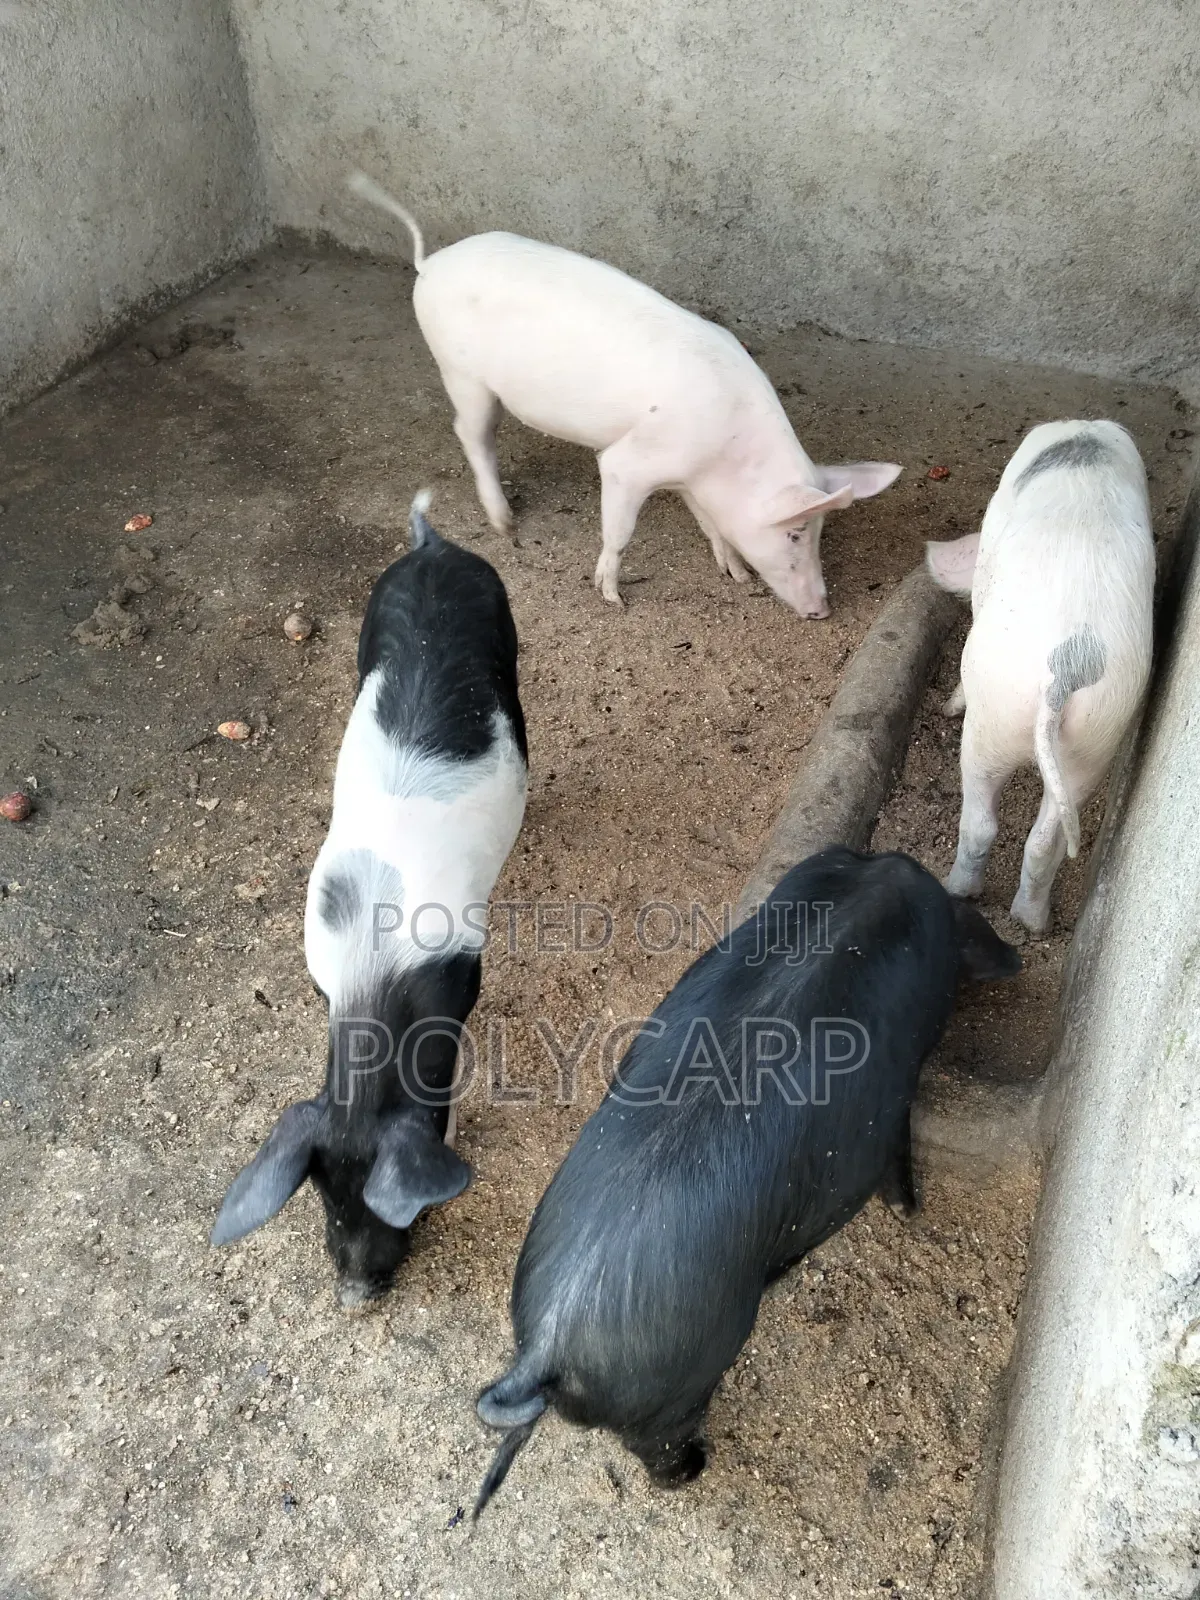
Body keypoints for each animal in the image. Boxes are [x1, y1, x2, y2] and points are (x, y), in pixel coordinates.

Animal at [211, 492, 528, 1307]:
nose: (355, 1295)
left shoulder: (464, 972)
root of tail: (433, 547)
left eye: (393, 1206)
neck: (373, 972)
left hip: (505, 629)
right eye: (324, 1195)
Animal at [348, 172, 901, 620]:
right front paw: (612, 596)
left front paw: (736, 573)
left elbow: (712, 525)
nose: (823, 610)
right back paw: (506, 525)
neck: (724, 452)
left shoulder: (688, 479)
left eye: (819, 531)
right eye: (795, 533)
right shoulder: (627, 463)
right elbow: (619, 529)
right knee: (471, 433)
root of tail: (429, 264)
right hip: (462, 374)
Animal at [472, 846, 1020, 1515]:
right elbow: (898, 1150)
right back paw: (698, 1468)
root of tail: (546, 1345)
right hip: (676, 1391)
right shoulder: (896, 1098)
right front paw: (910, 1211)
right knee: (662, 1452)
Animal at [926, 419, 1154, 933]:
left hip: (992, 719)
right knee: (1044, 838)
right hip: (1096, 736)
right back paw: (1033, 921)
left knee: (980, 822)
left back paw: (957, 890)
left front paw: (947, 704)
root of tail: (1063, 673)